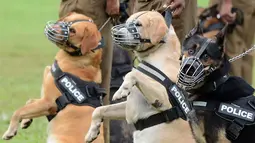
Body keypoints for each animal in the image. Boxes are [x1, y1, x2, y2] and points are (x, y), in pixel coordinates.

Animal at [1, 12, 103, 143]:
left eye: (73, 31)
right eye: (65, 20)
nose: (52, 29)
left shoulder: (48, 103)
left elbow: (18, 111)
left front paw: (10, 131)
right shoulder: (44, 99)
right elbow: (29, 102)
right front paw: (26, 121)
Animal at [85, 10, 197, 143]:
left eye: (138, 24)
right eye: (127, 22)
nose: (116, 32)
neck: (154, 55)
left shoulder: (164, 100)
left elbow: (133, 74)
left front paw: (123, 88)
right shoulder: (127, 107)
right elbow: (99, 110)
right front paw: (93, 130)